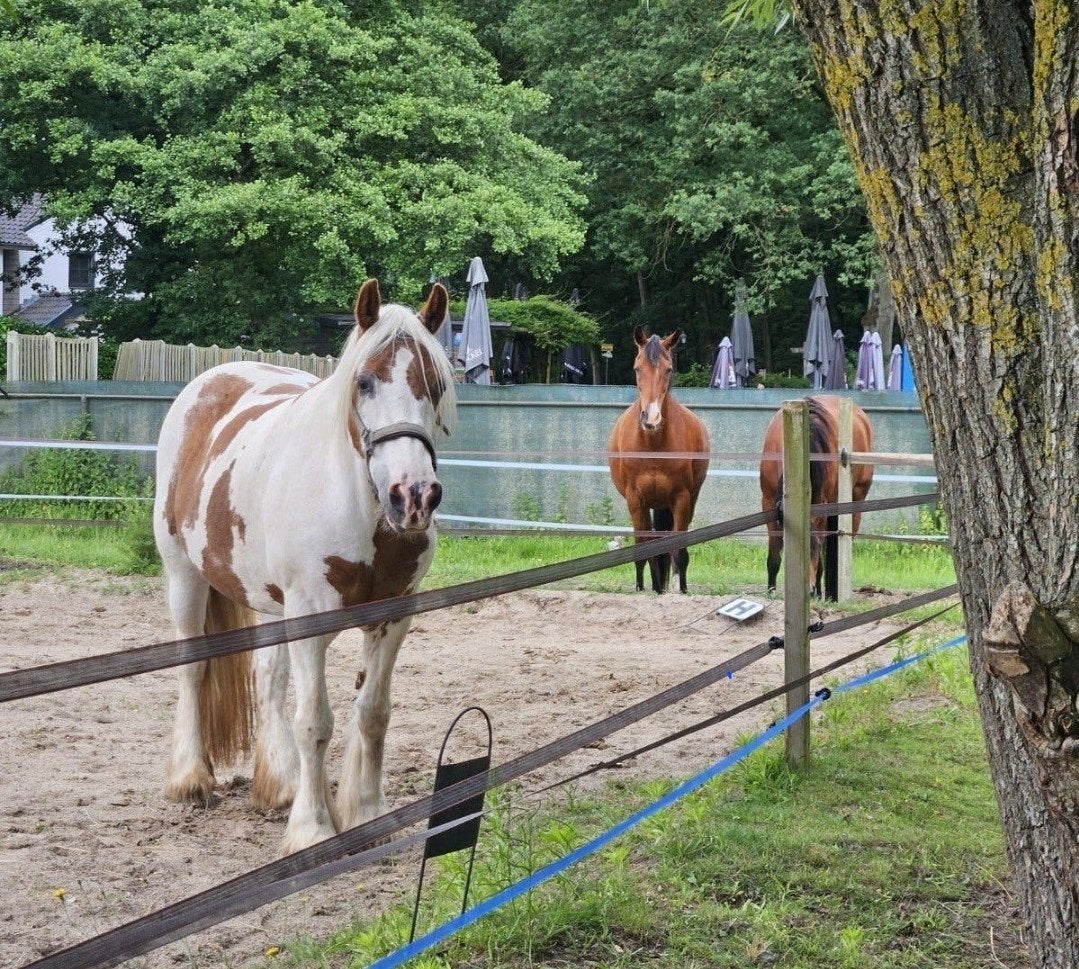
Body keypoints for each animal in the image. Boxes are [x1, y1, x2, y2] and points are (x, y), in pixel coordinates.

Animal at [152, 278, 456, 855]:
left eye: (434, 385)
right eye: (364, 381)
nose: (414, 496)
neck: (360, 511)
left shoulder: (394, 615)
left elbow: (373, 713)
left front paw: (365, 812)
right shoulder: (310, 617)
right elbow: (314, 722)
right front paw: (312, 828)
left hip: (271, 604)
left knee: (268, 677)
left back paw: (279, 784)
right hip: (185, 577)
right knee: (192, 668)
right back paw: (191, 778)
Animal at [609, 328, 710, 593]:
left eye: (669, 369)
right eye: (637, 368)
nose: (651, 418)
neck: (653, 446)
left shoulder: (682, 500)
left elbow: (678, 549)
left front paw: (678, 590)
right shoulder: (635, 500)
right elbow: (643, 549)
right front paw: (643, 589)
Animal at [759, 394, 873, 596]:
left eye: (814, 547)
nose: (810, 590)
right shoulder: (768, 502)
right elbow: (774, 553)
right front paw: (771, 591)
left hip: (855, 500)